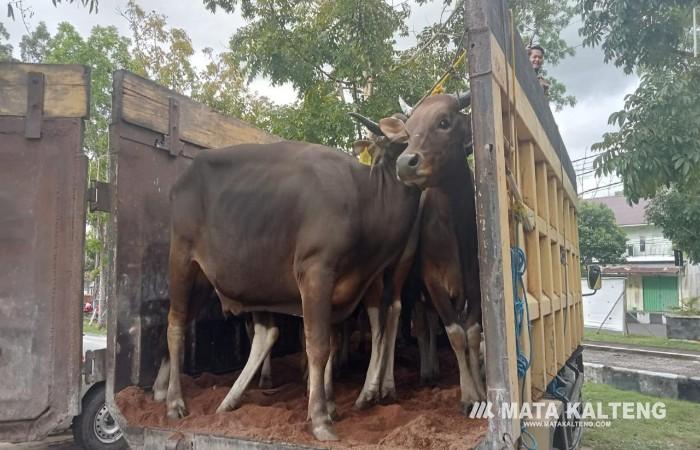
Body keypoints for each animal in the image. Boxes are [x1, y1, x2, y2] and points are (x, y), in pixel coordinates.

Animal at [158, 141, 418, 440]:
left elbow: (328, 341)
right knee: (177, 323)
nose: (411, 163)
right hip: (183, 259)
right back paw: (174, 401)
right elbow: (319, 344)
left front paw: (327, 405)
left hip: (215, 279)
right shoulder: (317, 274)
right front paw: (321, 414)